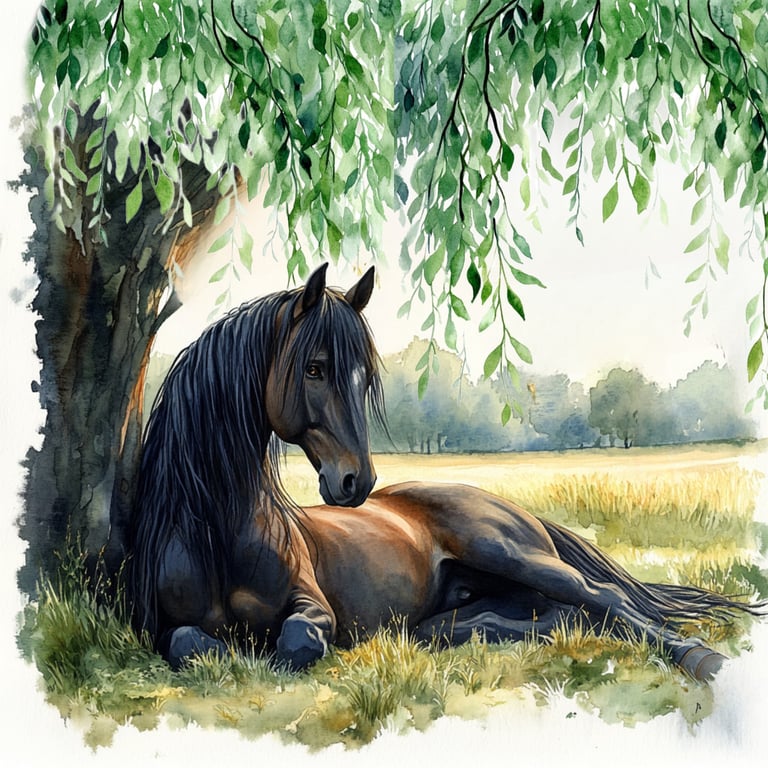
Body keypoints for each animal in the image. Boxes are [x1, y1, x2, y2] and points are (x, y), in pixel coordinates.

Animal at [128, 264, 761, 681]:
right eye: (314, 368)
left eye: (364, 376)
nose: (357, 482)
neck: (220, 532)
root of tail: (512, 508)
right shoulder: (160, 625)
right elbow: (189, 643)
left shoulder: (313, 606)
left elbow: (298, 643)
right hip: (467, 609)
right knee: (556, 618)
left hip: (509, 553)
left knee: (600, 596)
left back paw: (700, 658)